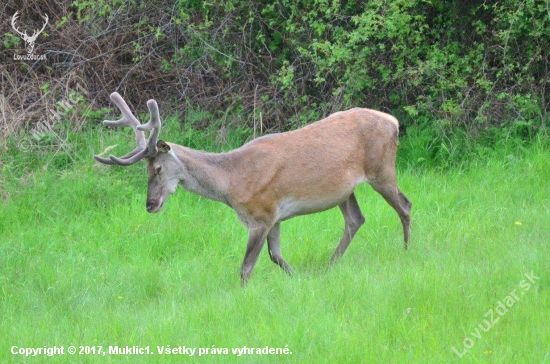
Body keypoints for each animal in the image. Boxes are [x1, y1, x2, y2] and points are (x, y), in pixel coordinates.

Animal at [96, 91, 414, 284]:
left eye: (158, 169)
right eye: (146, 170)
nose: (150, 204)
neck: (232, 182)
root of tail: (394, 121)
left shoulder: (261, 213)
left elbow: (247, 267)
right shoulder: (274, 216)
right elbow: (276, 256)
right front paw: (298, 279)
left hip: (381, 169)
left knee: (405, 205)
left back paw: (406, 251)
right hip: (345, 189)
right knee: (356, 219)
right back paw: (329, 266)